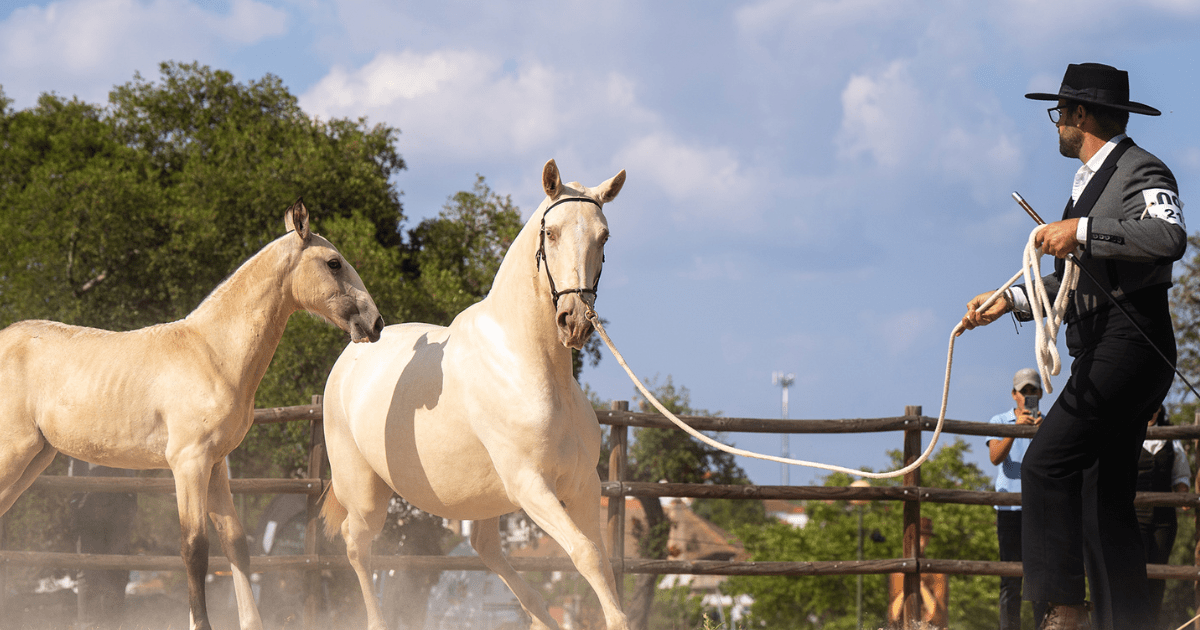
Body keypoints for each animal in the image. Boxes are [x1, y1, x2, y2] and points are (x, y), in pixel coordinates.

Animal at [0, 199, 384, 630]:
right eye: (334, 263)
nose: (375, 323)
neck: (213, 353)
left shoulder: (214, 466)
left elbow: (235, 543)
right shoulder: (188, 462)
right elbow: (194, 548)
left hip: (35, 458)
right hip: (14, 453)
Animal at [320, 159, 629, 630]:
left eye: (603, 236)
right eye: (552, 233)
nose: (574, 320)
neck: (530, 365)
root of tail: (350, 355)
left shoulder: (581, 486)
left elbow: (602, 564)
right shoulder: (530, 485)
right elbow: (587, 554)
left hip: (485, 501)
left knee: (487, 550)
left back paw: (540, 615)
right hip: (365, 492)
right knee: (357, 545)